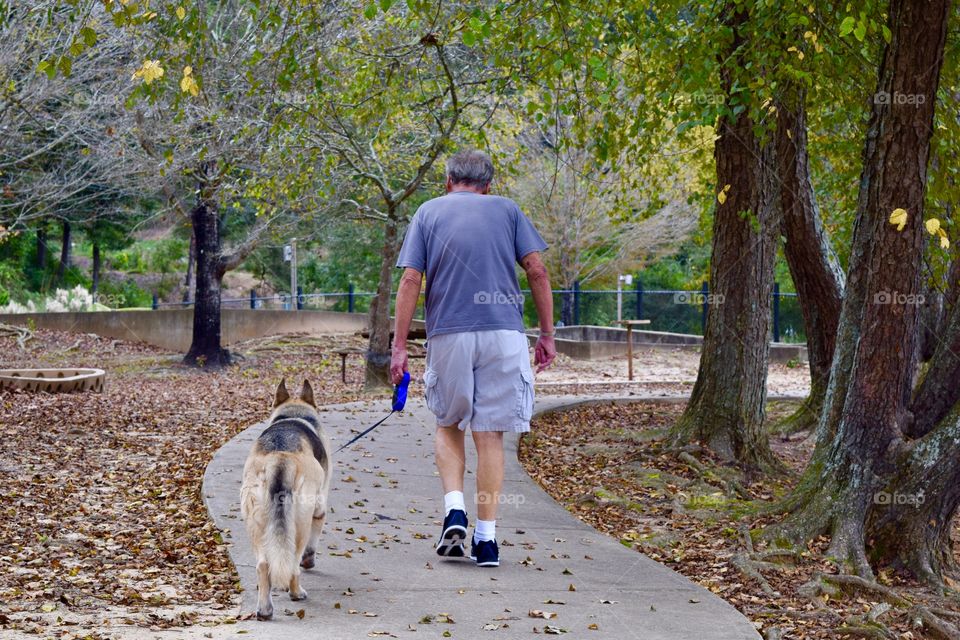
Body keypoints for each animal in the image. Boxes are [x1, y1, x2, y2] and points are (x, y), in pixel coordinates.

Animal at [239, 380, 330, 620]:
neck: (294, 414)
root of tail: (280, 457)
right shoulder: (319, 508)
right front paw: (309, 561)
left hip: (255, 521)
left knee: (263, 564)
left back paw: (265, 610)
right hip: (300, 523)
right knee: (292, 563)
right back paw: (296, 592)